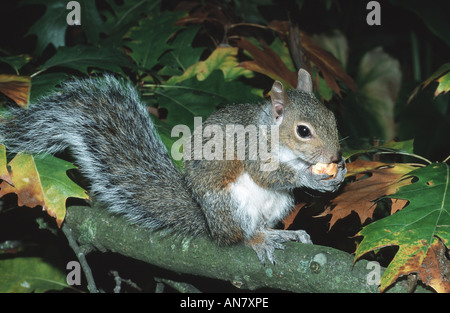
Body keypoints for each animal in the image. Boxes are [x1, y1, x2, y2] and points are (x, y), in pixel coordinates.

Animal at [0, 69, 348, 264]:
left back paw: (282, 234)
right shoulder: (252, 147)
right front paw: (310, 178)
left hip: (277, 204)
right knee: (237, 236)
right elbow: (265, 173)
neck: (277, 138)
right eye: (303, 131)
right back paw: (256, 240)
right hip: (230, 204)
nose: (334, 156)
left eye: (333, 117)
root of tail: (208, 222)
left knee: (261, 223)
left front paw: (338, 173)